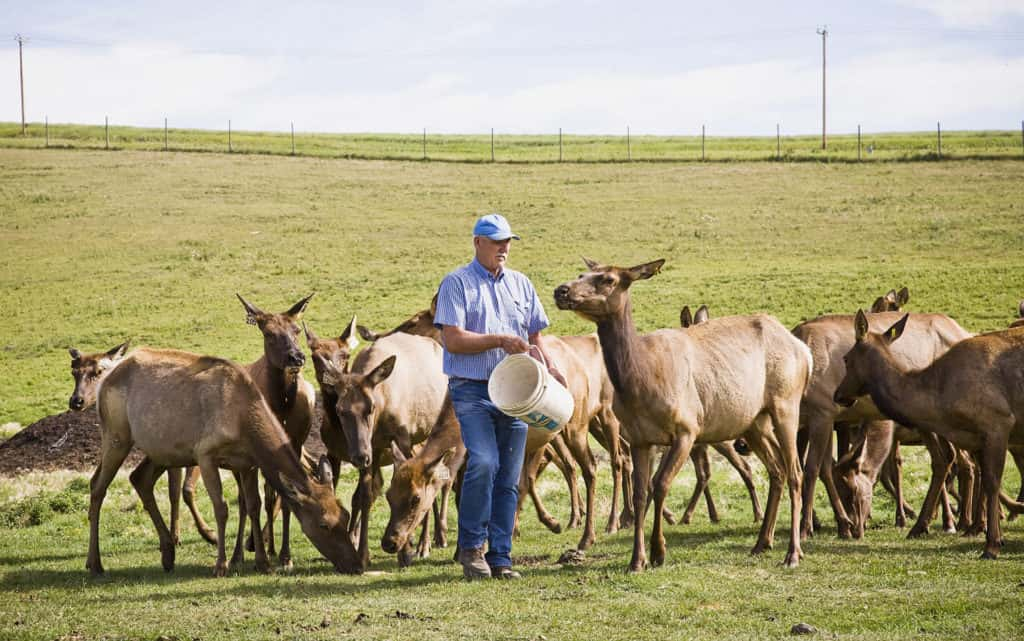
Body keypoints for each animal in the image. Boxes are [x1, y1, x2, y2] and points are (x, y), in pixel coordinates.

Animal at [67, 339, 216, 544]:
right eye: (73, 371)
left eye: (98, 371)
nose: (76, 401)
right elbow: (175, 491)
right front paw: (178, 535)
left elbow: (181, 490)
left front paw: (198, 533)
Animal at [557, 257, 811, 565]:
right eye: (582, 273)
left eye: (608, 279)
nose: (562, 290)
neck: (640, 383)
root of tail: (804, 351)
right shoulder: (640, 439)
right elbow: (641, 493)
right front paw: (636, 559)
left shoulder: (687, 429)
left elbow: (661, 484)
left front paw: (658, 551)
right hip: (754, 422)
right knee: (776, 470)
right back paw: (762, 542)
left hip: (786, 403)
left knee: (795, 471)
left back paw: (793, 552)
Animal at [831, 311, 1024, 557]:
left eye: (846, 358)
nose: (838, 394)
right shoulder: (975, 437)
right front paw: (983, 530)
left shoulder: (998, 421)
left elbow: (991, 482)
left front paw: (992, 544)